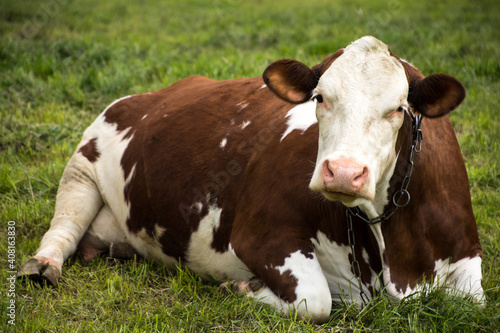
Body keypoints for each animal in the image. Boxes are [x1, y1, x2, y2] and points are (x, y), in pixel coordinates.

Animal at [19, 36, 484, 322]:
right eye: (320, 98)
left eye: (399, 109)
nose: (343, 172)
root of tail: (152, 93)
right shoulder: (260, 233)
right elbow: (315, 300)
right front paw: (241, 288)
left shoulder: (466, 253)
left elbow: (474, 303)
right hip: (82, 166)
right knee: (63, 226)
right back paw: (42, 266)